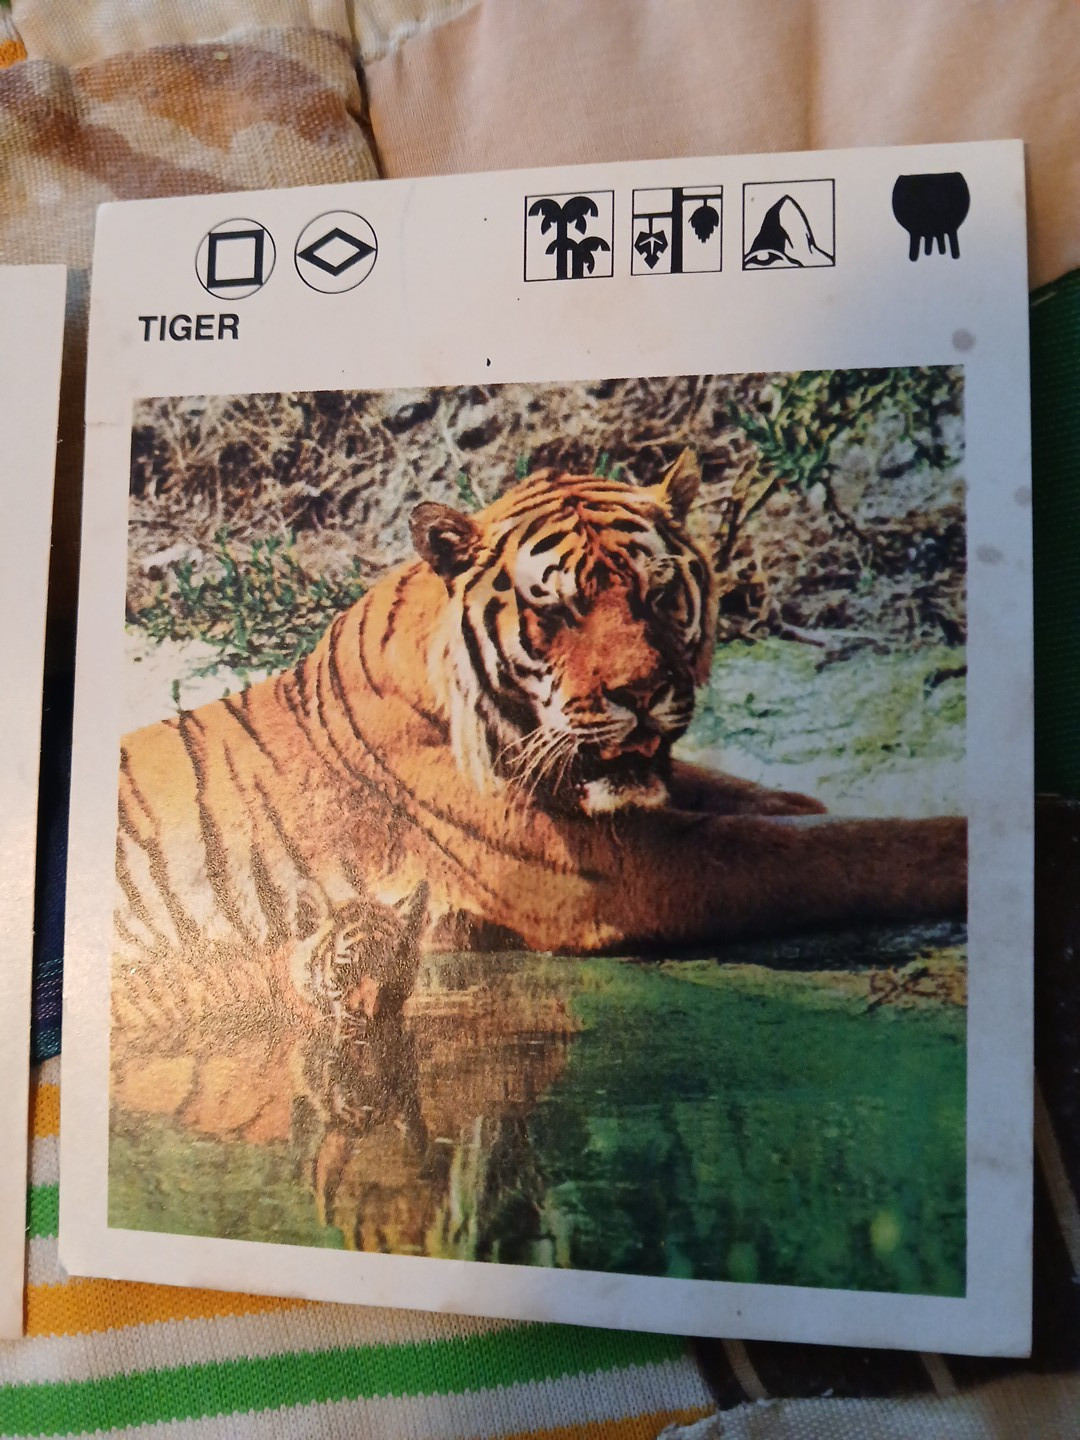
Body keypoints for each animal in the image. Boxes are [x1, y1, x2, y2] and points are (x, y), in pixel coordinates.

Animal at [112, 448, 966, 994]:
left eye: (658, 594)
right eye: (556, 612)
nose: (640, 691)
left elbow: (749, 796)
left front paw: (803, 798)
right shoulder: (613, 870)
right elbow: (824, 852)